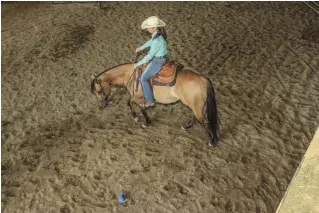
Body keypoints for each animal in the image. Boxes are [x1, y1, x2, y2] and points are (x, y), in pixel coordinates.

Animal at [90, 60, 220, 146]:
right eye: (94, 92)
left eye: (99, 90)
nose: (101, 106)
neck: (130, 76)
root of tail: (202, 78)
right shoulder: (135, 96)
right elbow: (129, 102)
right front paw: (135, 117)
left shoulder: (139, 98)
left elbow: (140, 108)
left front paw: (146, 122)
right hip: (195, 105)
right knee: (197, 118)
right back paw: (186, 126)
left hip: (195, 106)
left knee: (205, 121)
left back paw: (212, 142)